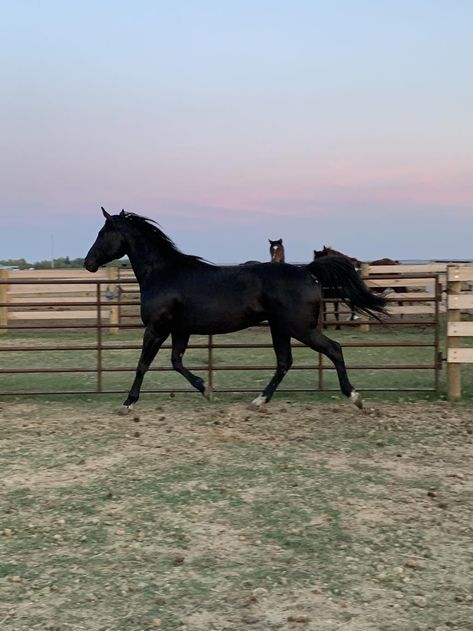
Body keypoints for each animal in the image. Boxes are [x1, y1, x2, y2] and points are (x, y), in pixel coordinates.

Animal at [85, 210, 386, 412]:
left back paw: (355, 397)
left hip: (300, 328)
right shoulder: (180, 330)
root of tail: (308, 272)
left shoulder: (157, 329)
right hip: (281, 327)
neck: (163, 273)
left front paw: (127, 403)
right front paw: (206, 389)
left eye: (102, 234)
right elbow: (176, 362)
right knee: (284, 361)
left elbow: (143, 365)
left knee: (333, 349)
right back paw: (259, 400)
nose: (89, 263)